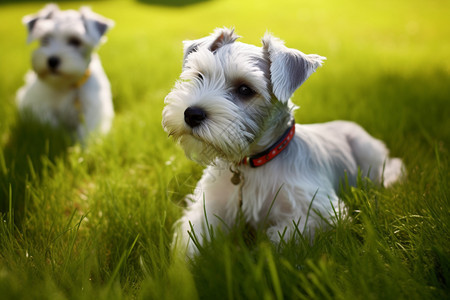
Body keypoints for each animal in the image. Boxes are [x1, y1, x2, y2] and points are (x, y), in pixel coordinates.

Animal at [17, 4, 116, 141]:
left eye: (75, 41)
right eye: (45, 38)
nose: (52, 60)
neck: (66, 85)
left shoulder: (92, 109)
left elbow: (86, 132)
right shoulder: (40, 106)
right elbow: (51, 124)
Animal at [163, 28, 406, 255]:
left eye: (245, 89)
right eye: (200, 76)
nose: (192, 114)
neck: (254, 162)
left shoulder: (321, 213)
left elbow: (277, 239)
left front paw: (251, 254)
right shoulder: (208, 208)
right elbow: (190, 242)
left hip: (369, 159)